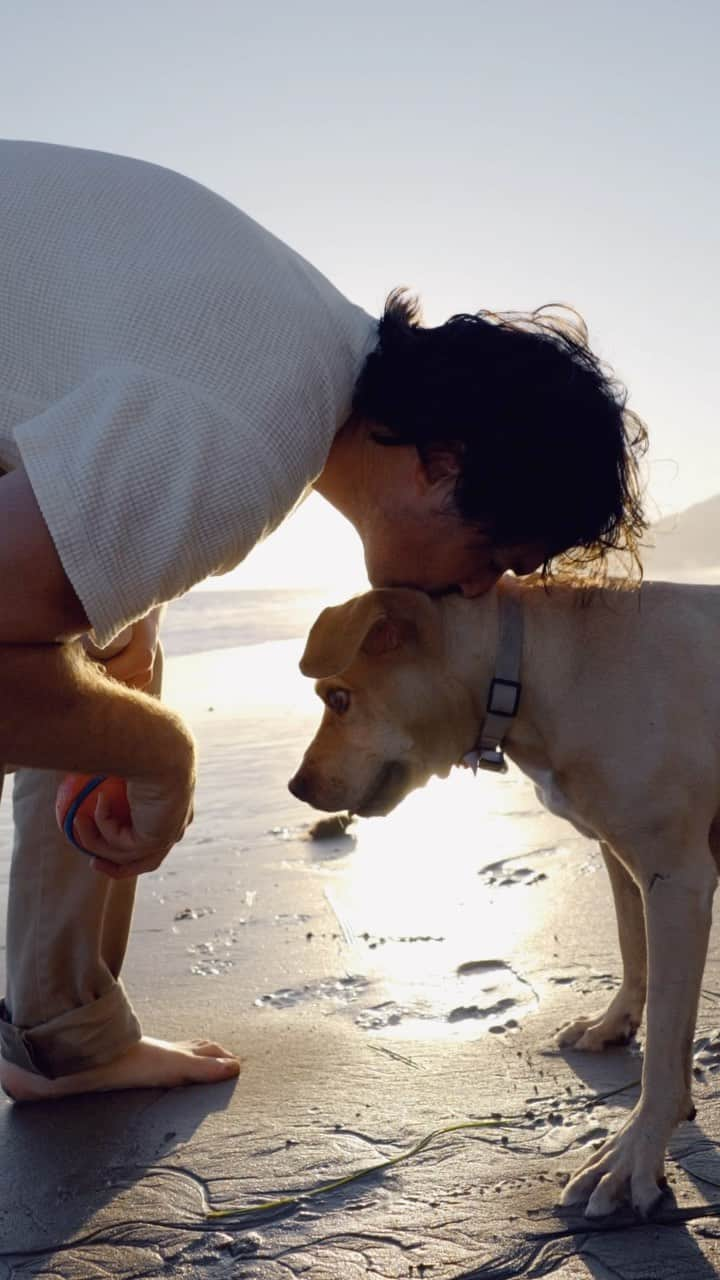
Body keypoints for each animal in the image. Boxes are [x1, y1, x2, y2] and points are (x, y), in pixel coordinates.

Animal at [288, 581, 717, 1218]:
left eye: (337, 698)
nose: (297, 786)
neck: (529, 670)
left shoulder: (677, 878)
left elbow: (665, 1048)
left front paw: (633, 1154)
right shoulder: (624, 857)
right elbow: (630, 944)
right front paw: (614, 1023)